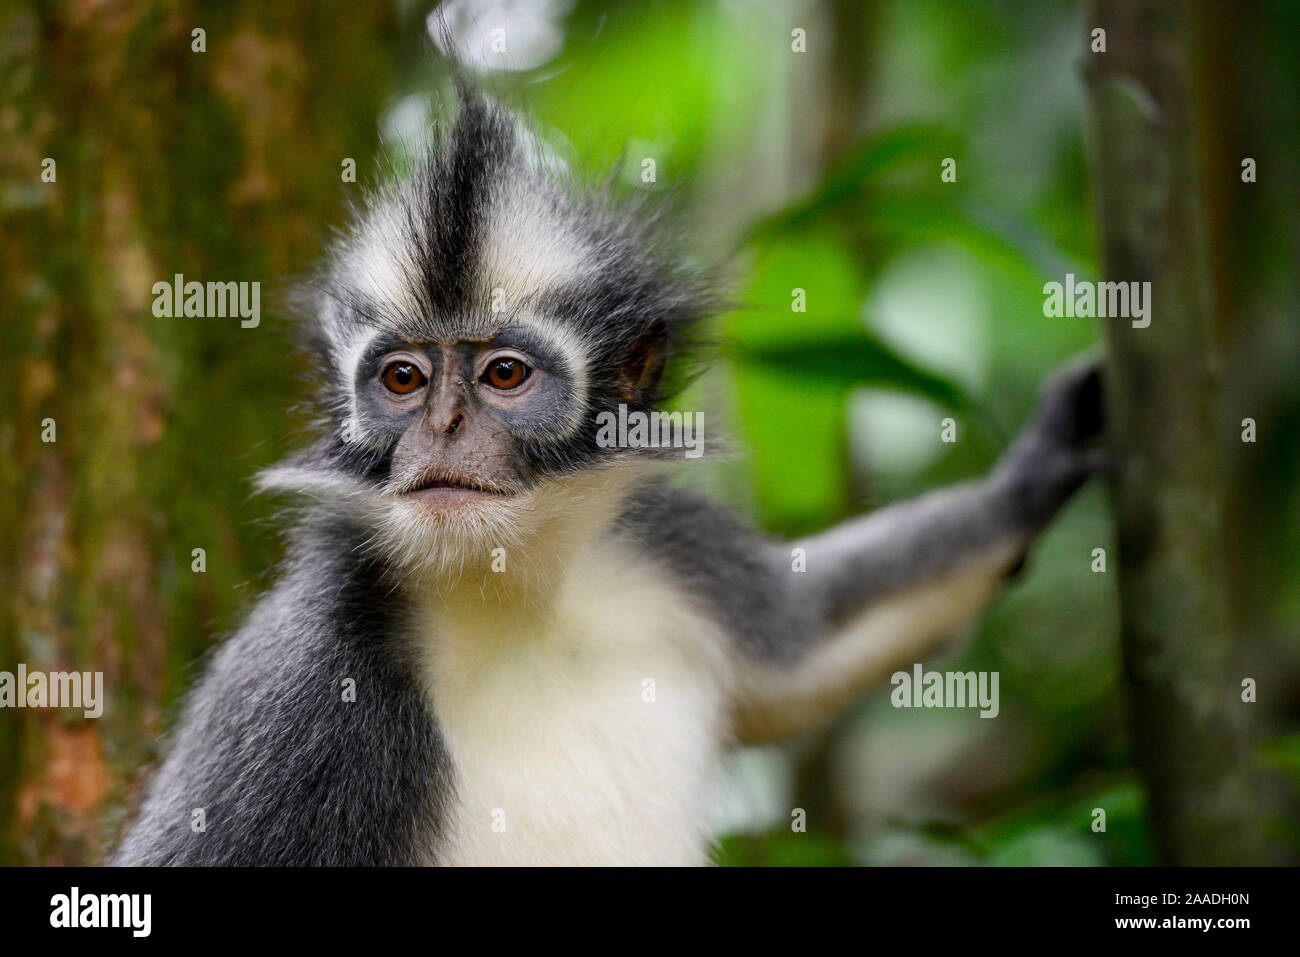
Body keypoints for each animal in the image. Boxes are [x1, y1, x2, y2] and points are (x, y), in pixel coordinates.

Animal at [114, 89, 1107, 868]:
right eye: (402, 379)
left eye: (503, 374)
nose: (442, 428)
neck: (515, 595)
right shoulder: (303, 681)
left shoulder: (663, 551)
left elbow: (810, 647)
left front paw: (1041, 467)